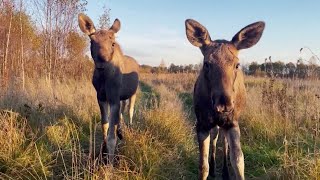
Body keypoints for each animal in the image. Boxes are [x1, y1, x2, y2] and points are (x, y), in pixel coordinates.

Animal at [78, 13, 139, 164]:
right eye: (92, 42)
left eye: (112, 43)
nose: (102, 63)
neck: (103, 79)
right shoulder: (101, 98)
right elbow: (104, 125)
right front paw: (103, 150)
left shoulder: (113, 98)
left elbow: (112, 137)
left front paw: (110, 163)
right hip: (122, 97)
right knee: (122, 111)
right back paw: (121, 130)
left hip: (133, 93)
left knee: (130, 110)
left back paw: (129, 127)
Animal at [185, 19, 264, 179]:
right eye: (206, 64)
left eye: (237, 64)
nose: (224, 104)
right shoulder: (201, 124)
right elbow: (203, 165)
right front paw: (210, 168)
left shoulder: (232, 122)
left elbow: (238, 161)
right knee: (215, 138)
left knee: (223, 141)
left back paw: (225, 172)